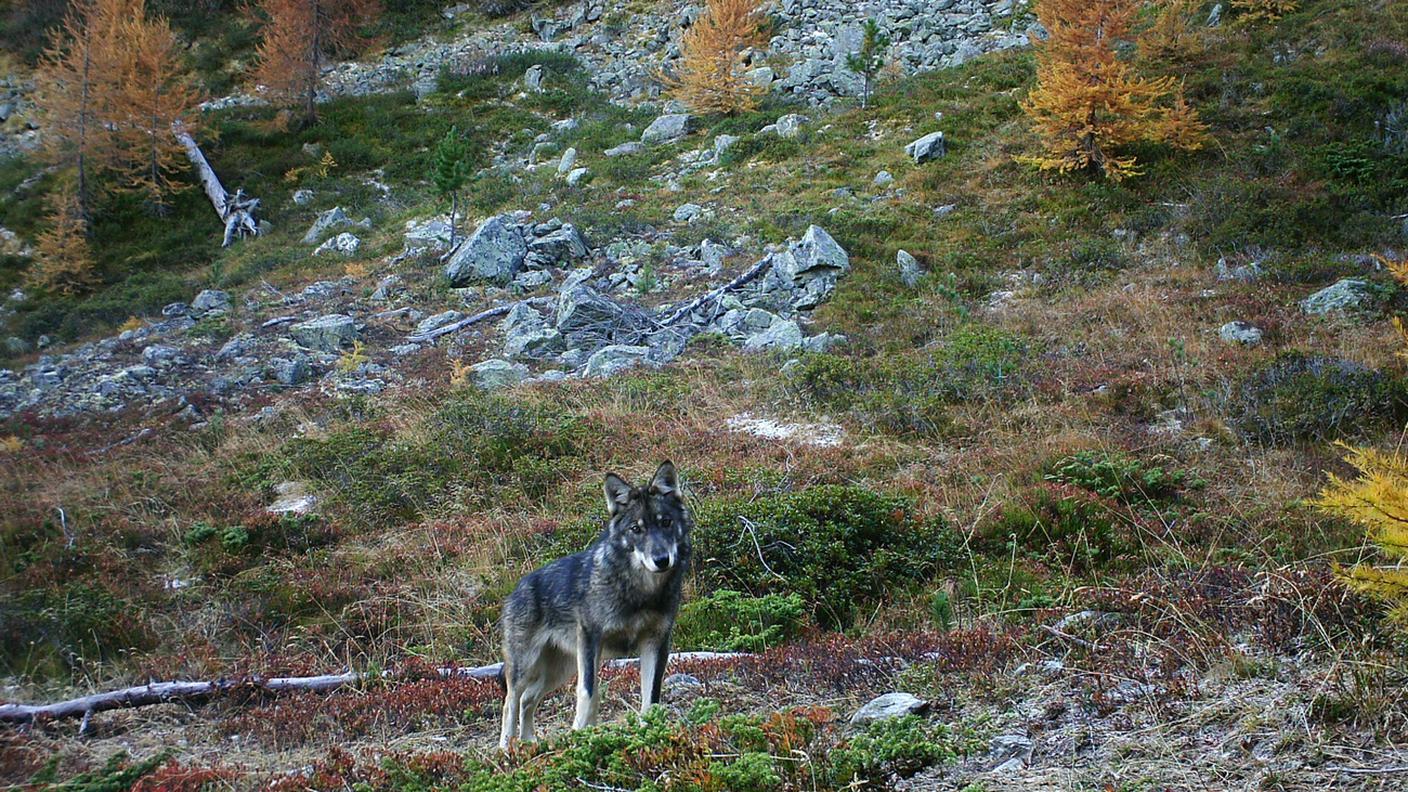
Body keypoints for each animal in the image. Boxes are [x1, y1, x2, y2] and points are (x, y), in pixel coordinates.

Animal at [498, 459, 689, 744]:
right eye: (636, 529)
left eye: (666, 522)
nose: (662, 560)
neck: (640, 591)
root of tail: (516, 588)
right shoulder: (591, 639)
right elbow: (589, 693)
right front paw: (581, 735)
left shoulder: (656, 642)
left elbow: (651, 698)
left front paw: (650, 733)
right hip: (527, 666)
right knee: (510, 702)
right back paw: (506, 748)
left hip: (558, 671)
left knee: (527, 700)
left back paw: (530, 744)